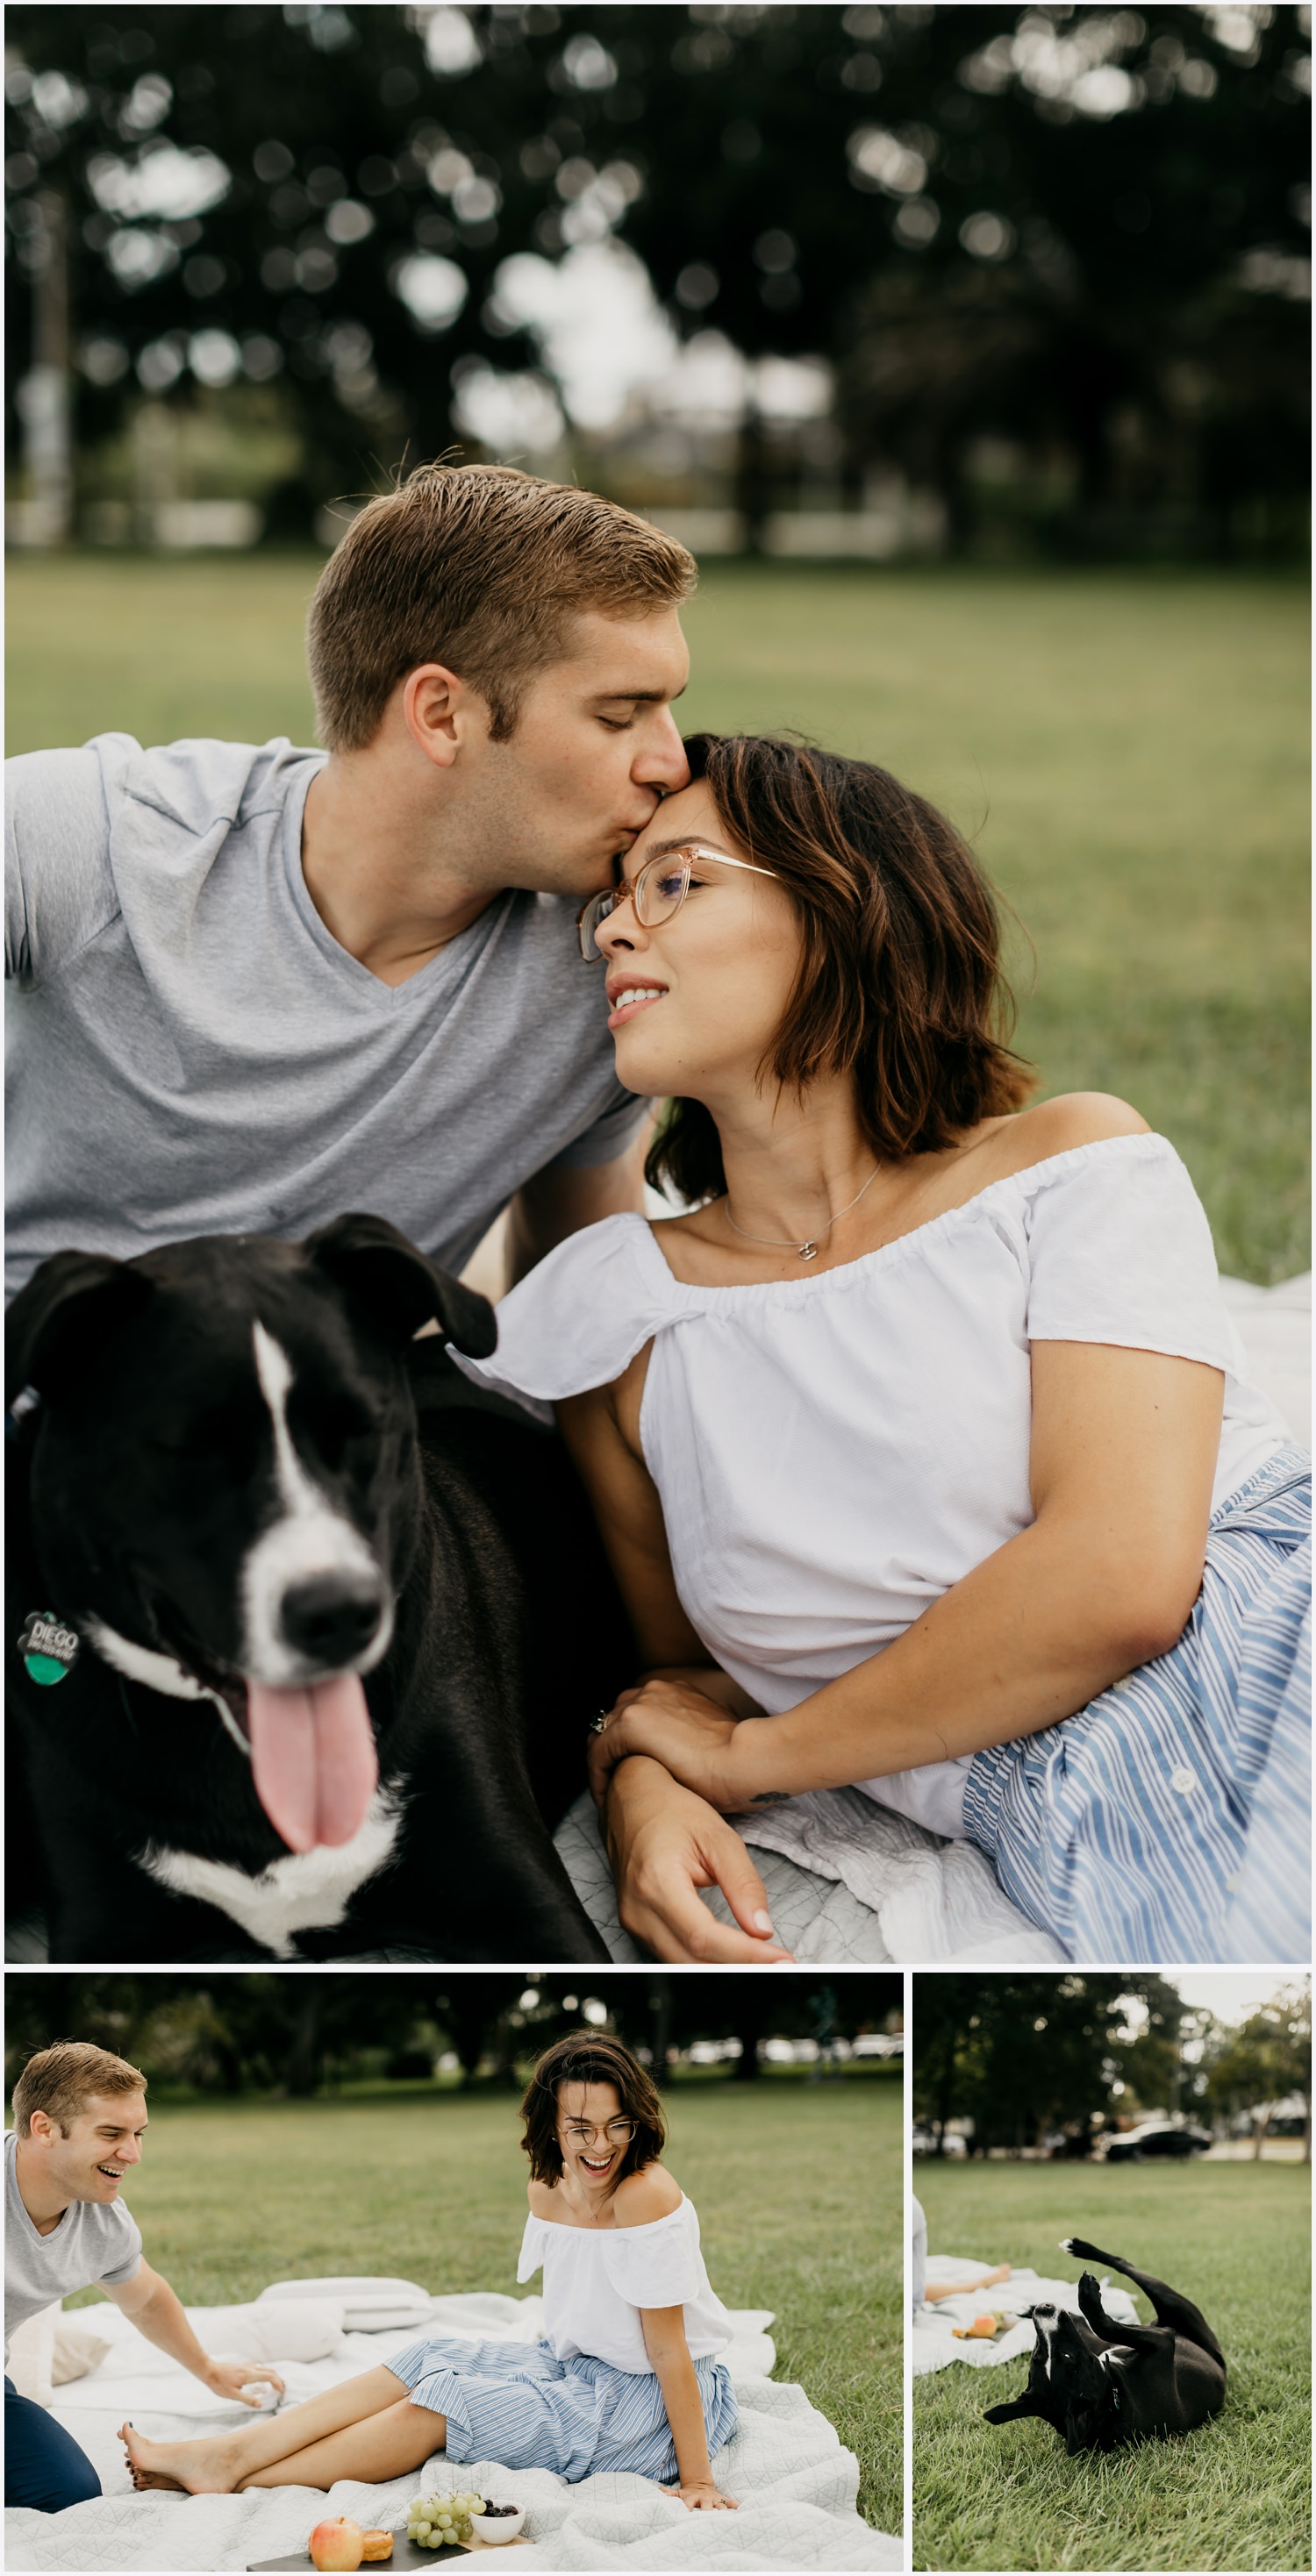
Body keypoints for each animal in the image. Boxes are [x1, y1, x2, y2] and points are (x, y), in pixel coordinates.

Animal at [983, 2236, 1231, 2452]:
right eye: (1067, 2356)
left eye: (1036, 2357)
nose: (1044, 2311)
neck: (1113, 2396)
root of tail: (1222, 2366)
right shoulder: (1164, 2340)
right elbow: (1104, 2325)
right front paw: (1088, 2298)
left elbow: (1098, 2326)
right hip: (1171, 2302)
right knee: (1124, 2266)